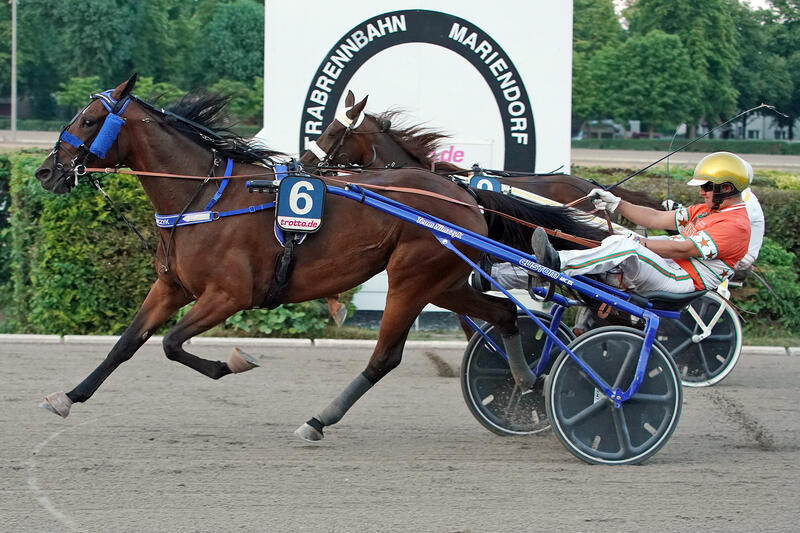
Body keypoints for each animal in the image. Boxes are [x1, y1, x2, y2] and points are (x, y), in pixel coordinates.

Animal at [32, 75, 608, 440]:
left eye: (88, 120)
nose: (44, 172)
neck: (203, 196)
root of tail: (463, 193)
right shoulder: (171, 287)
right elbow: (127, 343)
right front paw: (68, 396)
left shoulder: (229, 295)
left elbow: (173, 344)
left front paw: (233, 361)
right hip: (443, 280)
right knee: (504, 313)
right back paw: (528, 386)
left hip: (411, 277)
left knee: (386, 356)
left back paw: (318, 420)